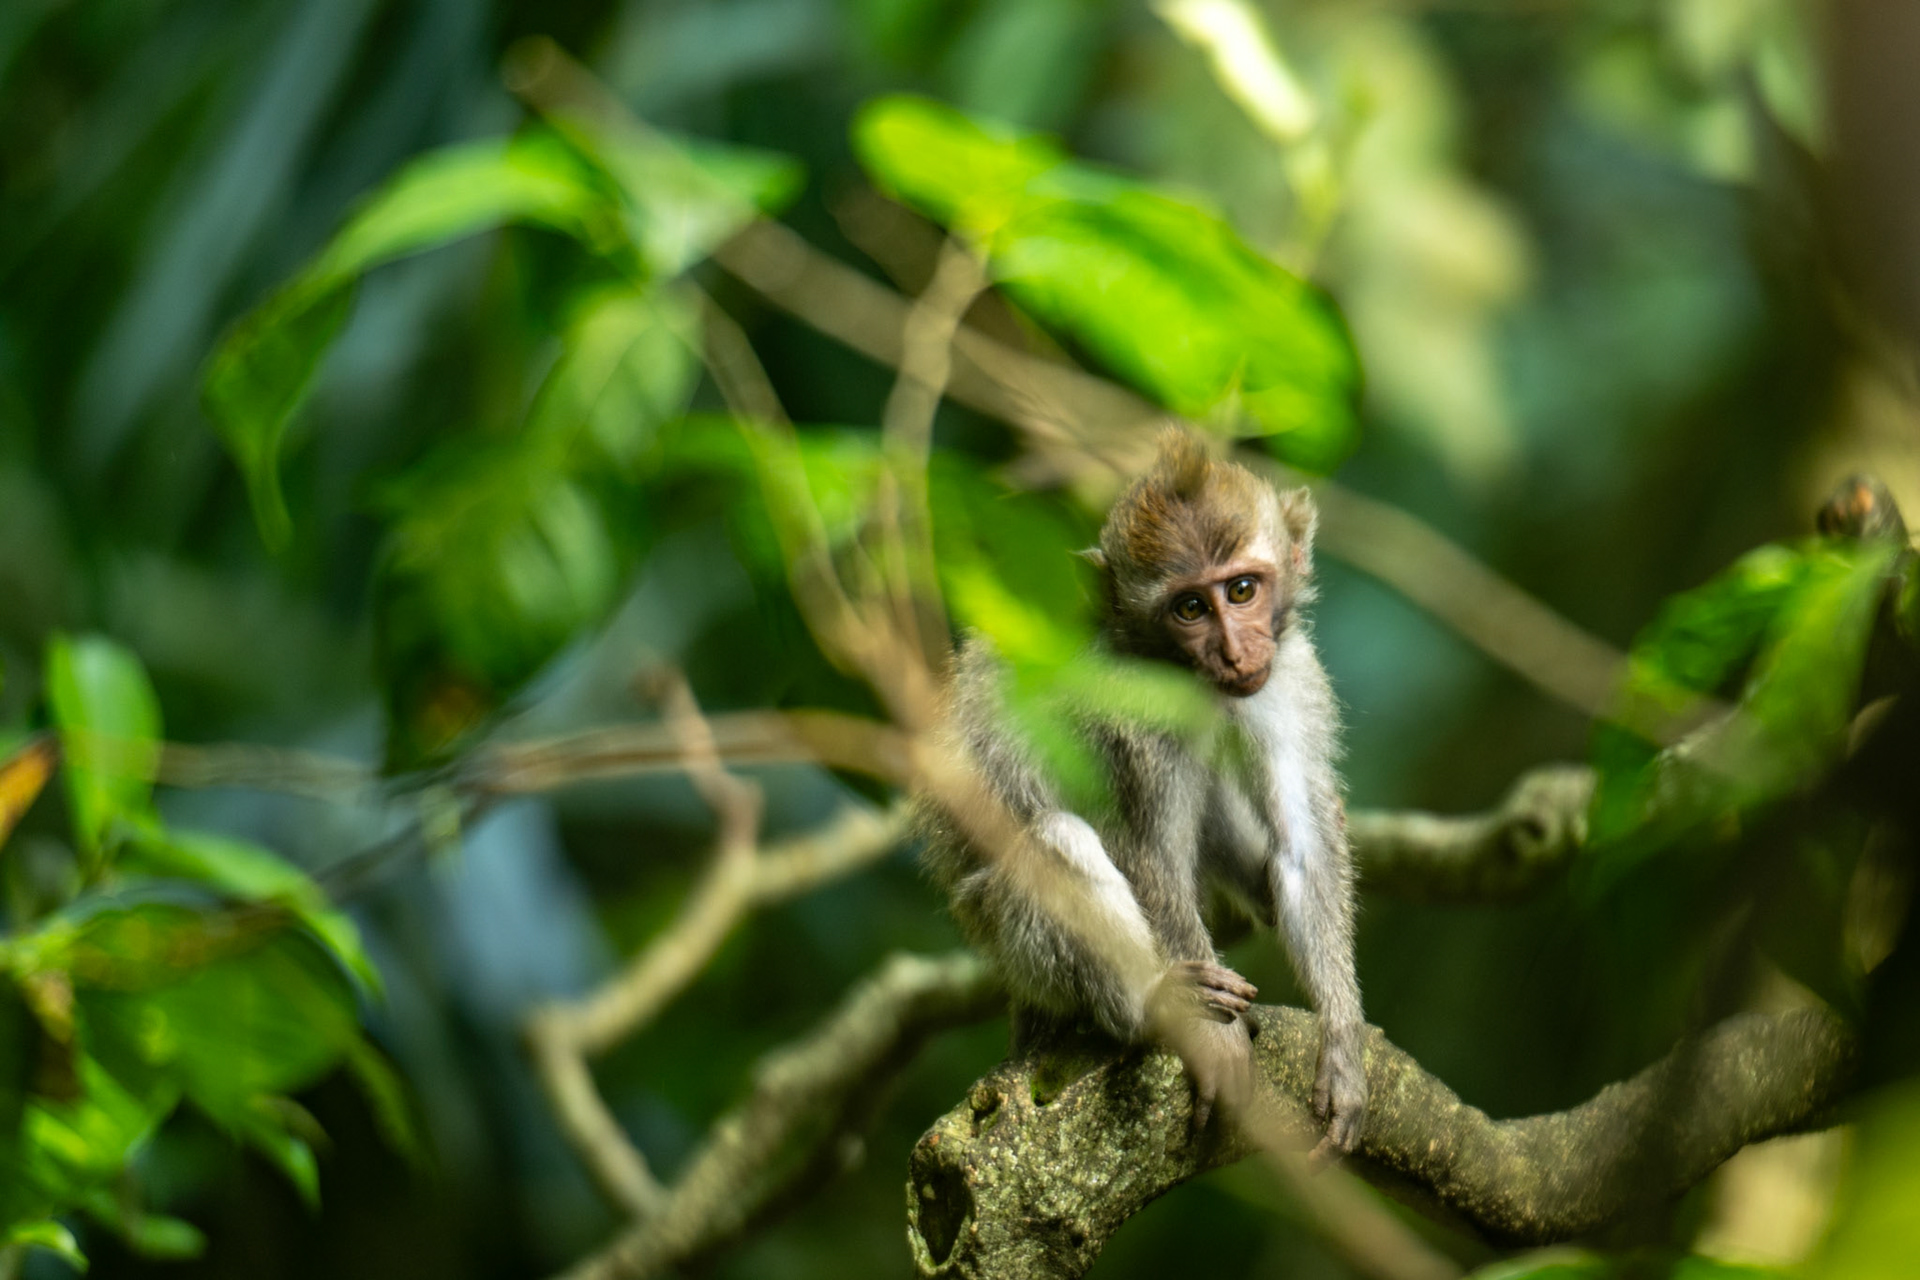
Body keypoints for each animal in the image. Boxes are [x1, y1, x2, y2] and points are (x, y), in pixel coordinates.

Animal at [917, 430, 1368, 1154]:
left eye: (1242, 589)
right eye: (1190, 607)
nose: (1235, 652)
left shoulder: (1289, 671)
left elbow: (1302, 846)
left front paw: (1345, 1046)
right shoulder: (1133, 707)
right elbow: (1145, 851)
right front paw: (1213, 1041)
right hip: (1001, 934)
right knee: (1058, 840)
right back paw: (1150, 1005)